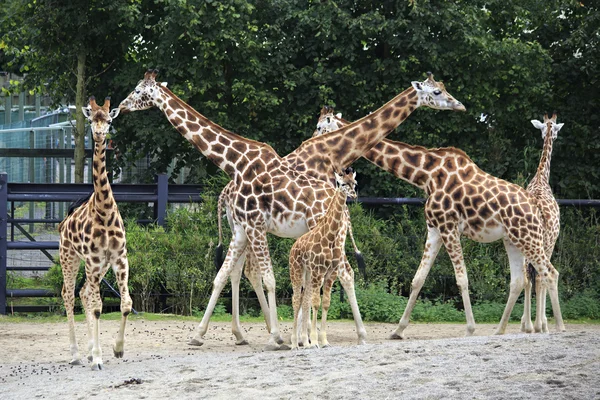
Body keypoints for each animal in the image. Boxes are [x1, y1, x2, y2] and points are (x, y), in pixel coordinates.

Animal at [57, 96, 132, 368]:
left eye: (109, 120)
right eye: (92, 119)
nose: (99, 135)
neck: (105, 212)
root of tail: (64, 222)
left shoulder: (119, 258)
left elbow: (126, 304)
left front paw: (117, 349)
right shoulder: (92, 260)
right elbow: (99, 306)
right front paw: (98, 358)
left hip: (98, 268)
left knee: (83, 293)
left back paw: (88, 351)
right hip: (69, 259)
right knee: (69, 294)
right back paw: (77, 354)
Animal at [290, 167, 360, 348]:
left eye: (355, 183)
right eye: (342, 184)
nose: (353, 195)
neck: (330, 237)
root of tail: (293, 247)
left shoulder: (330, 274)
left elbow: (326, 303)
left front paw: (324, 341)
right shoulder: (318, 272)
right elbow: (316, 302)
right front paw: (315, 341)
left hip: (308, 275)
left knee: (304, 299)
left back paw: (303, 342)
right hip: (297, 272)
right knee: (296, 299)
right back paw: (294, 343)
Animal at [316, 107, 564, 338]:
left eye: (320, 127)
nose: (313, 142)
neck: (425, 175)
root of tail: (536, 205)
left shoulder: (448, 226)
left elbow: (461, 279)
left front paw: (470, 329)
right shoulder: (434, 228)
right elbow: (418, 279)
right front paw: (398, 330)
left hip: (529, 237)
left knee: (549, 273)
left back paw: (555, 327)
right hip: (513, 239)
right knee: (520, 280)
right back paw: (500, 331)